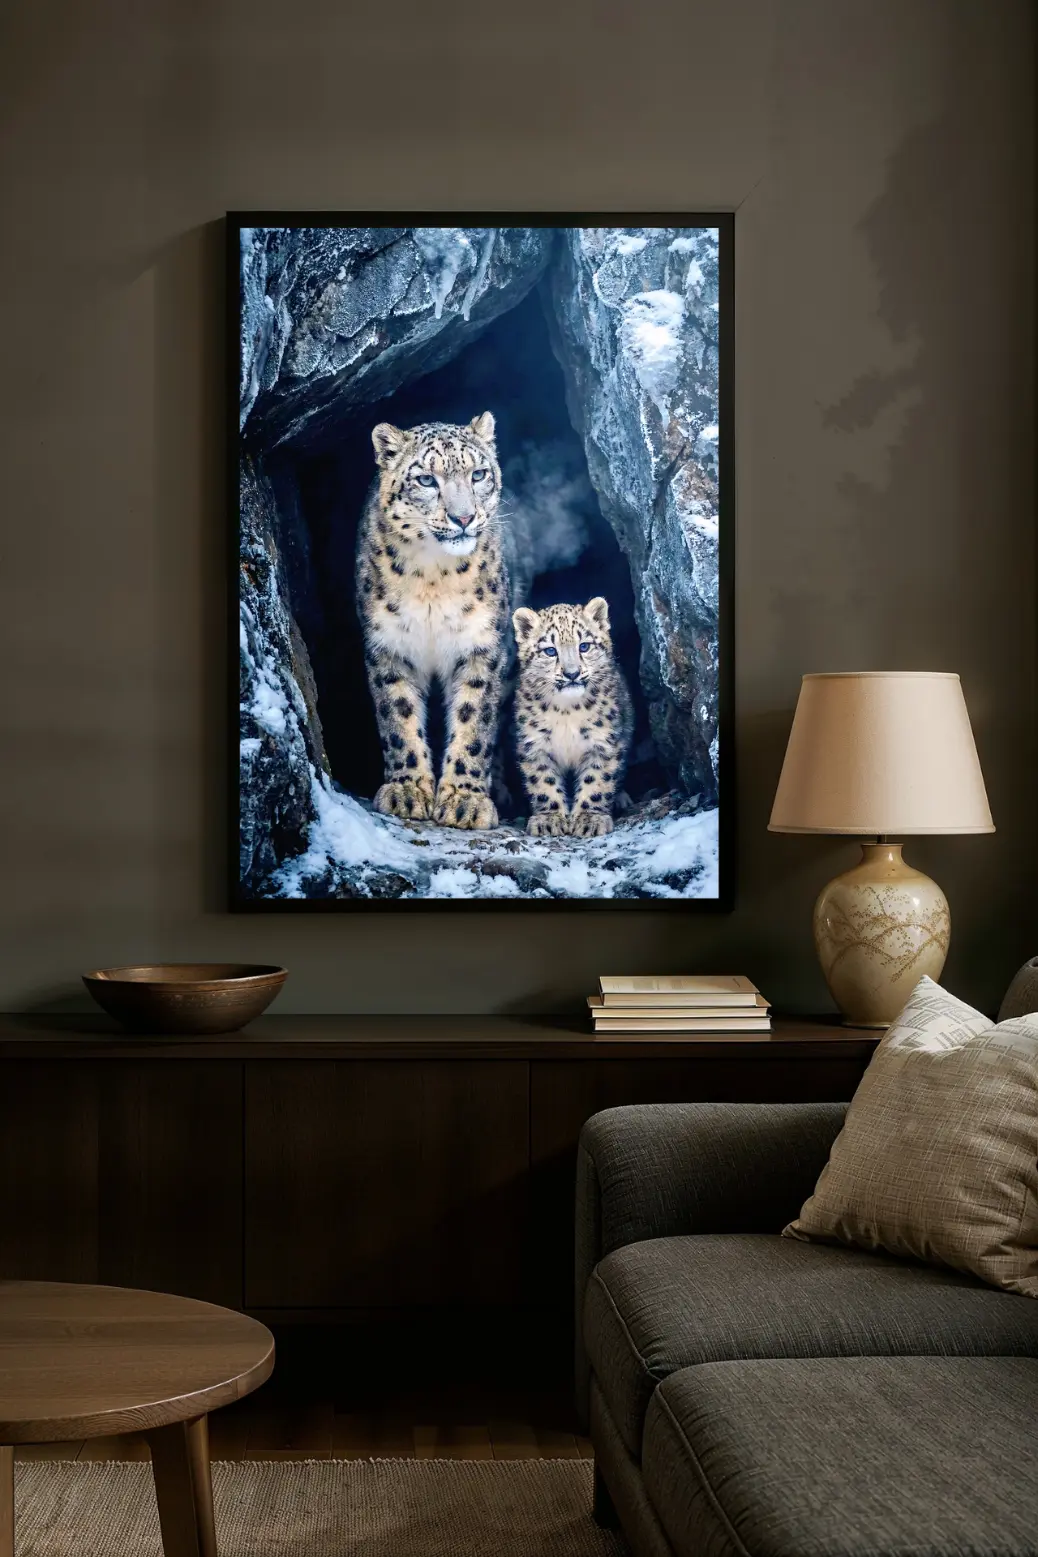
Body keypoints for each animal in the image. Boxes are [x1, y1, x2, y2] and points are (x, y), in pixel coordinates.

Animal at [356, 412, 509, 829]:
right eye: (426, 479)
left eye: (478, 474)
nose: (464, 517)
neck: (433, 579)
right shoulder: (389, 647)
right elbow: (399, 717)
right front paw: (408, 791)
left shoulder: (481, 646)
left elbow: (475, 720)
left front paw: (465, 801)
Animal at [511, 597, 633, 837]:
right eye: (550, 650)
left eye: (584, 646)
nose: (572, 673)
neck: (567, 712)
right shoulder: (535, 745)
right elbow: (544, 782)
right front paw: (549, 819)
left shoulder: (602, 743)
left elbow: (596, 781)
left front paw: (589, 819)